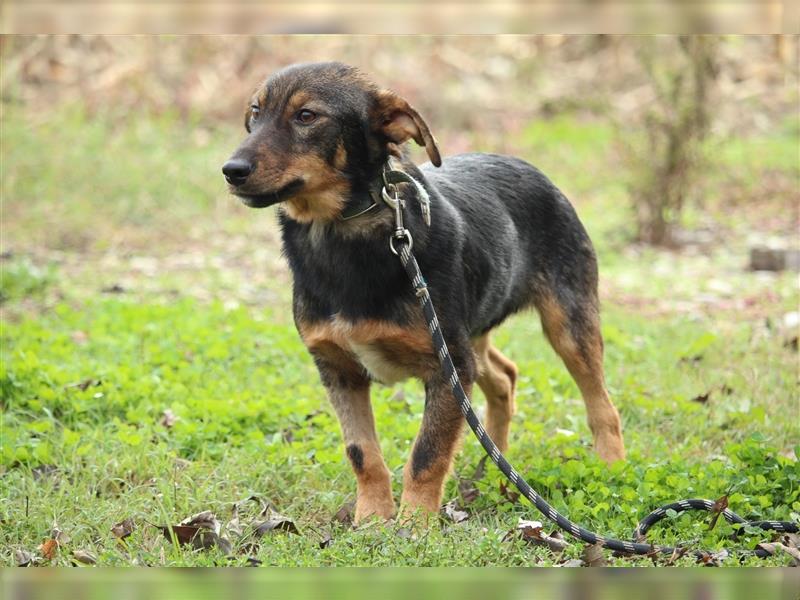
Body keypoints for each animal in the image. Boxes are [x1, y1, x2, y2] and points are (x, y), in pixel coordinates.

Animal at [223, 59, 624, 520]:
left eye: (307, 116)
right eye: (255, 113)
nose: (231, 171)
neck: (339, 234)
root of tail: (526, 165)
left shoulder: (447, 369)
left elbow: (427, 454)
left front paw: (414, 524)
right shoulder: (339, 369)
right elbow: (362, 453)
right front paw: (372, 520)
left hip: (565, 323)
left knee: (601, 404)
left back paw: (612, 468)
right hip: (470, 334)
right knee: (504, 377)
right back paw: (492, 470)